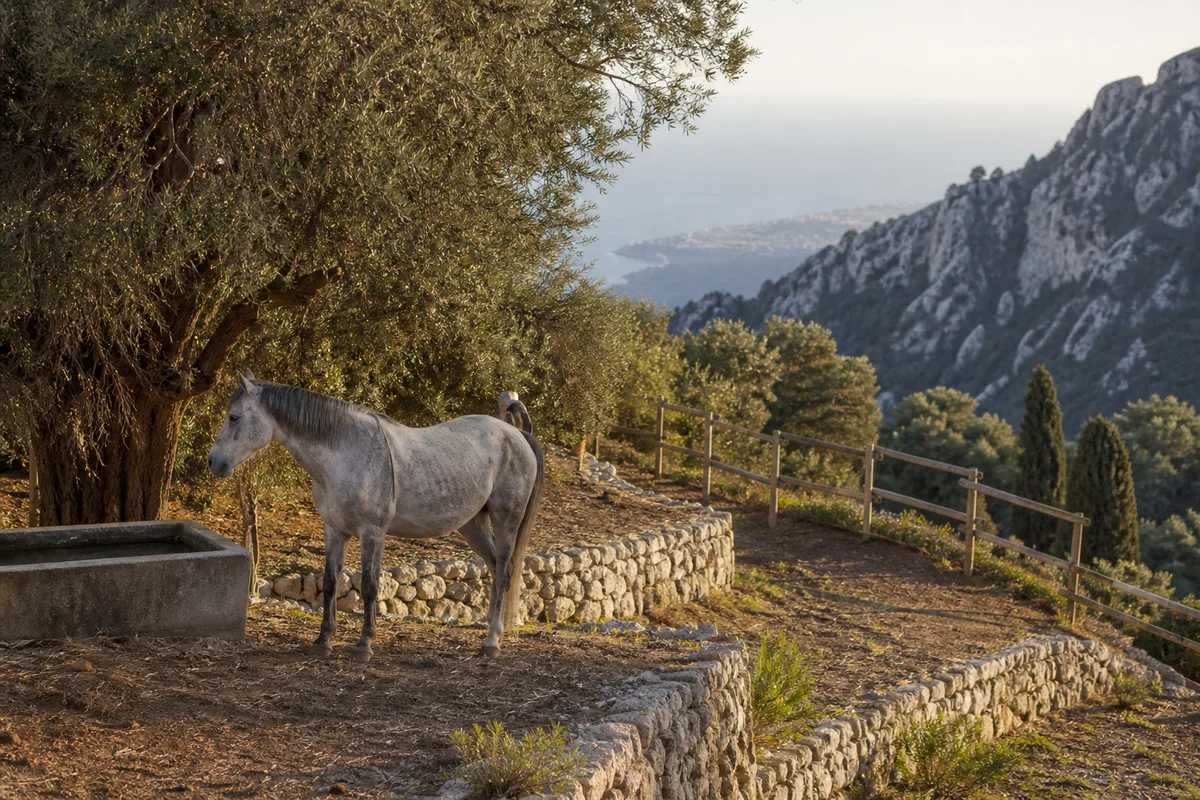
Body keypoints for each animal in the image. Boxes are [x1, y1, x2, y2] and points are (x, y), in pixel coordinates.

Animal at [207, 370, 544, 660]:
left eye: (234, 417)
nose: (214, 462)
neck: (345, 453)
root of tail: (516, 434)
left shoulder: (372, 531)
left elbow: (370, 585)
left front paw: (364, 644)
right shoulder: (334, 530)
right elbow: (330, 582)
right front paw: (323, 641)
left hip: (506, 520)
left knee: (504, 572)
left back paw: (492, 642)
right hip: (473, 525)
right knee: (495, 568)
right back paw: (491, 631)